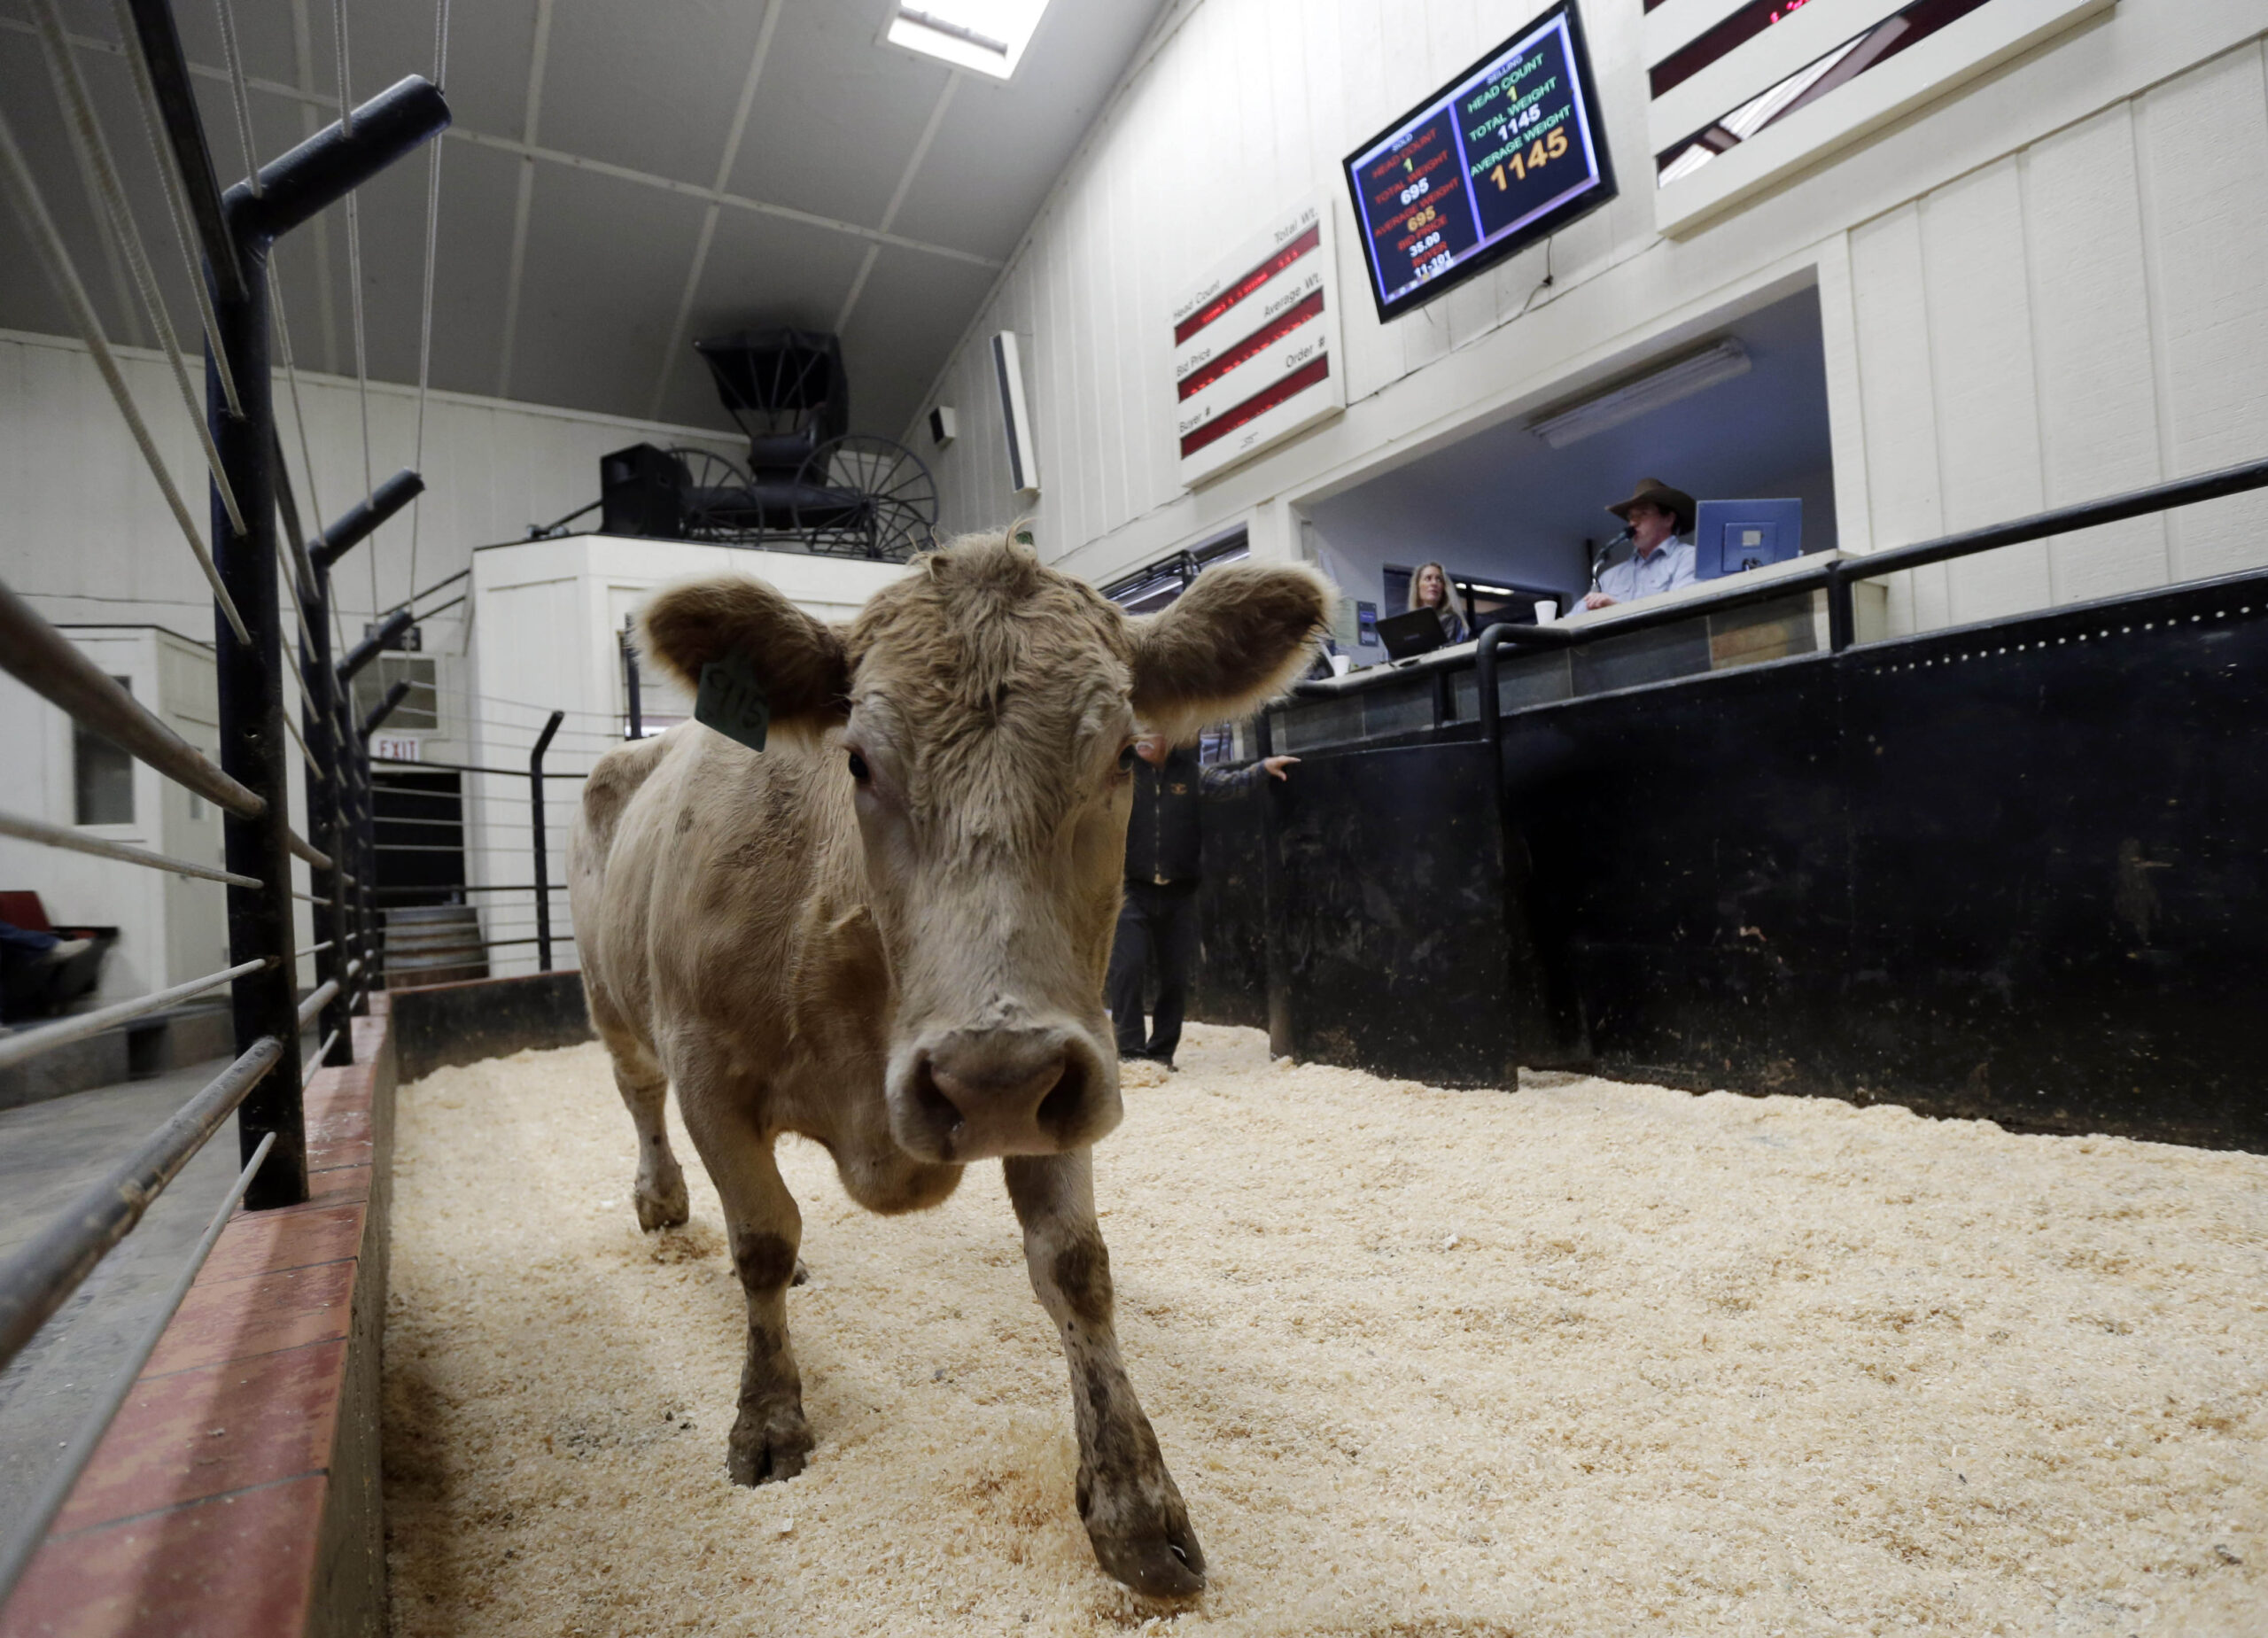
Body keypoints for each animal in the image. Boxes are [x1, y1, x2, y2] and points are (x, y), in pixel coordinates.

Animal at [568, 530, 1327, 1598]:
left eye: (1122, 753)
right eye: (857, 759)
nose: (990, 1076)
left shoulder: (1065, 1062)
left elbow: (1074, 1267)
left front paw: (1136, 1503)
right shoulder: (707, 1070)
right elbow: (760, 1241)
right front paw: (768, 1414)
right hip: (613, 1002)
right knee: (638, 1097)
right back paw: (663, 1200)